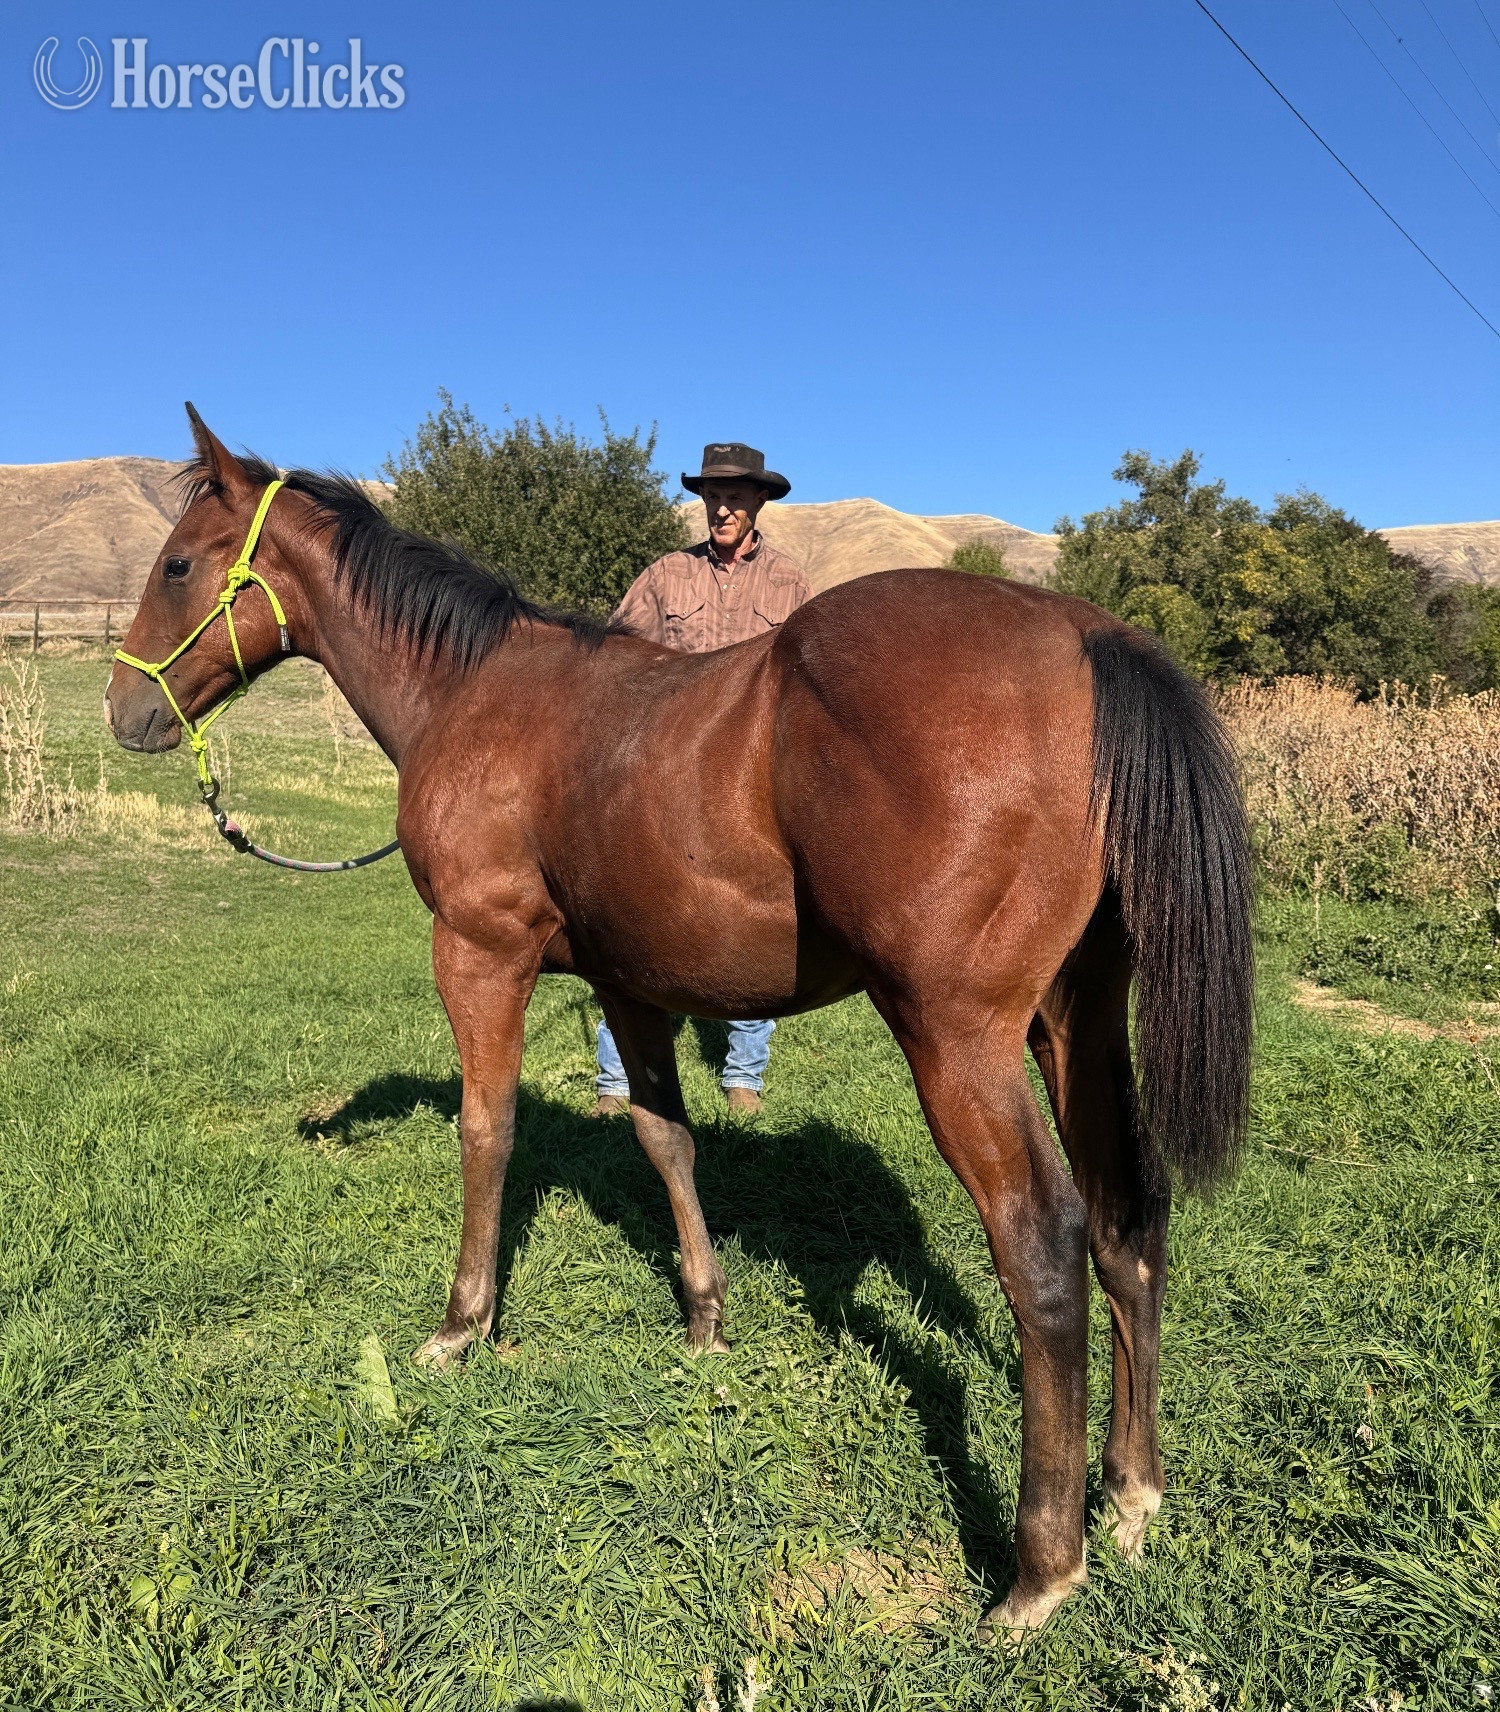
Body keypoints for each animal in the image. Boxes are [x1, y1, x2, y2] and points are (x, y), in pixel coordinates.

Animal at [104, 405, 1253, 1638]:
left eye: (178, 565)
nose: (123, 710)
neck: (476, 696)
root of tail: (1087, 636)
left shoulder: (480, 951)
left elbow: (486, 1130)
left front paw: (463, 1324)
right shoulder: (629, 984)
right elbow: (666, 1137)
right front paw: (705, 1317)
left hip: (959, 1040)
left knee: (1044, 1243)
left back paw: (1043, 1565)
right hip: (1076, 1021)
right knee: (1130, 1218)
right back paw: (1132, 1495)